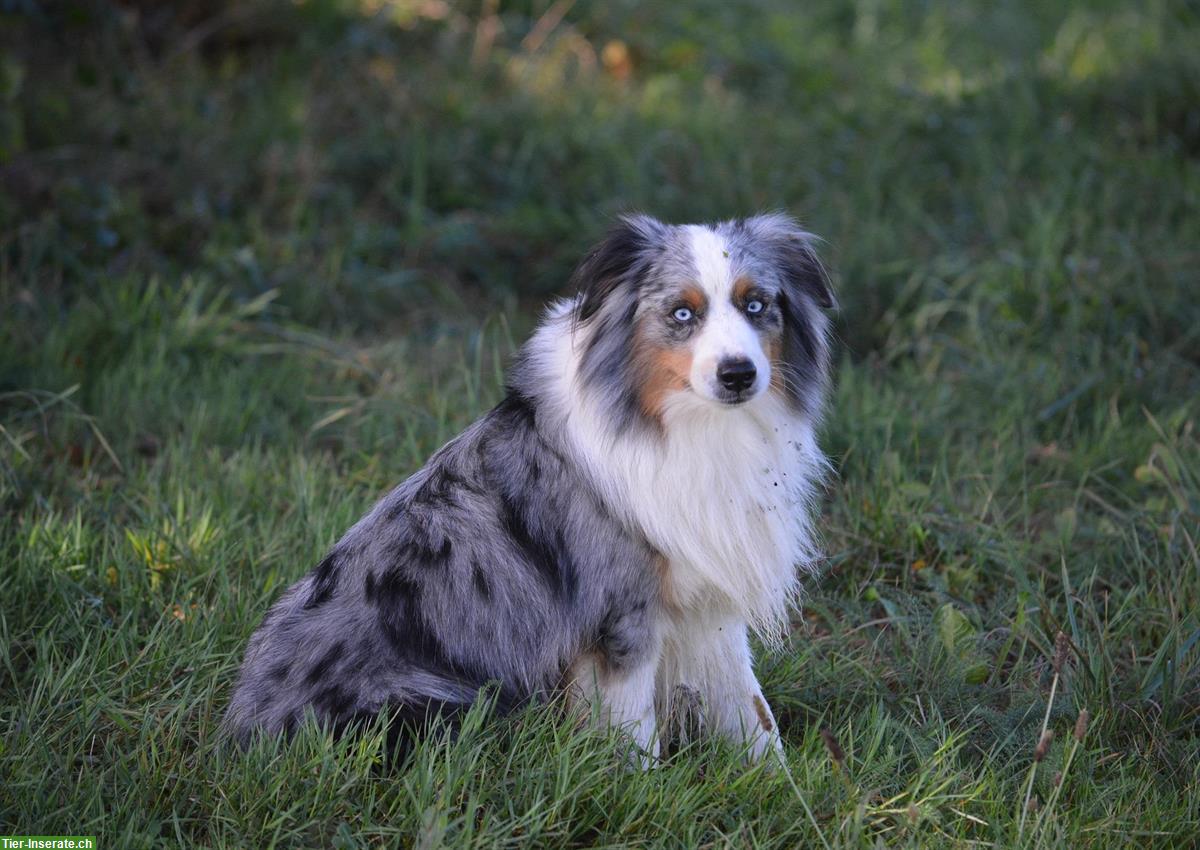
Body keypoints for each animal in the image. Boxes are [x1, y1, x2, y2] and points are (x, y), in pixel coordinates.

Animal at [223, 213, 835, 763]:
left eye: (756, 305)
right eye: (682, 313)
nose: (738, 374)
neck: (688, 422)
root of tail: (242, 730)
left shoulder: (707, 592)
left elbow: (752, 710)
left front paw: (779, 783)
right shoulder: (622, 614)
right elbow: (636, 733)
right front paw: (641, 786)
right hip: (441, 701)